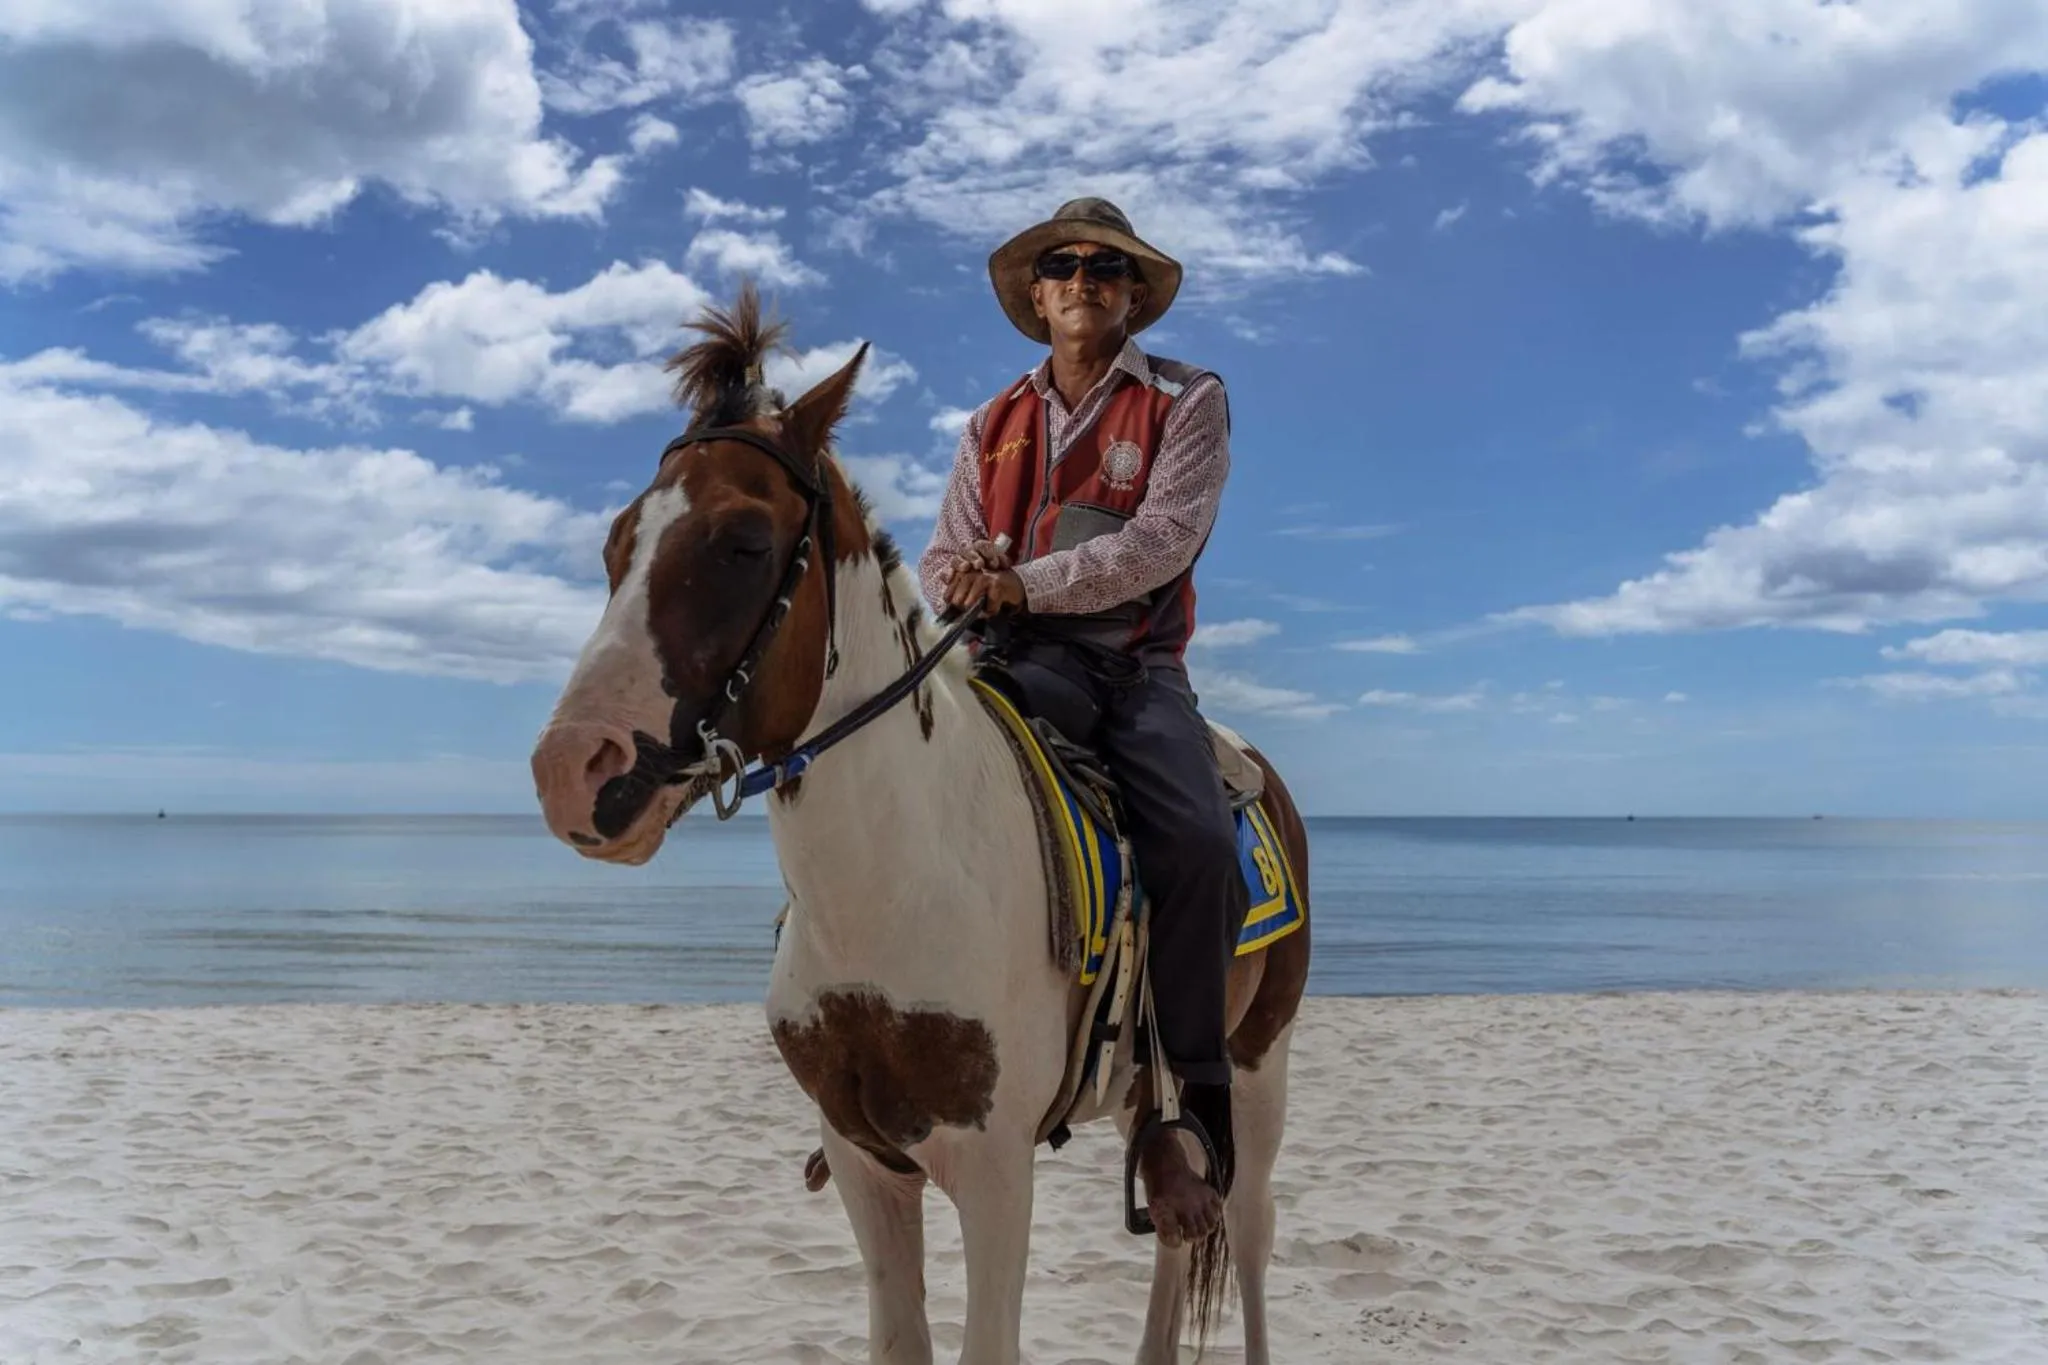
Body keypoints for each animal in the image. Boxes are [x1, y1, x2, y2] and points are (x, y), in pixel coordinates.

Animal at [530, 284, 1312, 1365]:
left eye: (742, 542)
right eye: (615, 547)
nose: (573, 771)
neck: (897, 891)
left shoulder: (993, 1173)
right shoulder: (862, 1161)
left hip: (1254, 1064)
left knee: (1248, 1229)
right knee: (1177, 1215)